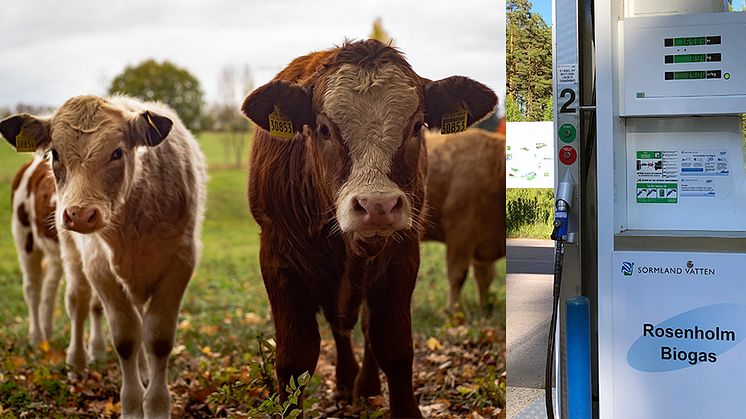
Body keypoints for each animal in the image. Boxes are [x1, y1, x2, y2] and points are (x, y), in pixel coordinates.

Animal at [1, 96, 205, 419]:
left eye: (117, 152)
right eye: (55, 153)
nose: (79, 214)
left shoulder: (180, 262)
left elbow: (157, 338)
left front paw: (156, 404)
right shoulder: (99, 267)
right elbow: (125, 337)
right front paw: (133, 407)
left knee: (57, 292)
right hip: (32, 242)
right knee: (57, 296)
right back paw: (57, 349)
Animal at [243, 40, 494, 419]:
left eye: (416, 126)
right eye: (324, 129)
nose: (378, 206)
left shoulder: (403, 258)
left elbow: (394, 345)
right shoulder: (278, 262)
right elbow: (295, 358)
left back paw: (364, 386)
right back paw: (348, 381)